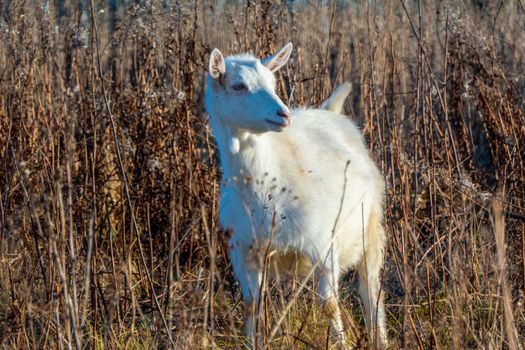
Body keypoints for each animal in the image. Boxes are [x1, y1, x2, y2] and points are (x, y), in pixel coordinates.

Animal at [206, 43, 388, 348]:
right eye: (238, 85)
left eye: (272, 82)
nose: (283, 114)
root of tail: (329, 111)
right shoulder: (244, 254)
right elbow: (252, 306)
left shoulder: (322, 245)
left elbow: (329, 305)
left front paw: (340, 343)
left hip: (371, 225)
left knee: (371, 288)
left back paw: (381, 339)